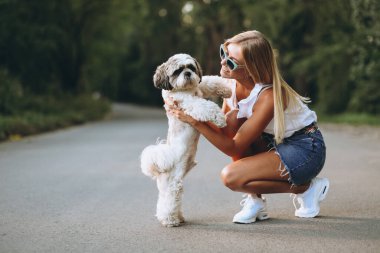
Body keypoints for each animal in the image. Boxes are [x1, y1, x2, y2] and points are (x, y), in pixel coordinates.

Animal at [140, 53, 232, 227]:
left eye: (191, 67)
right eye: (177, 71)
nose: (188, 74)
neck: (187, 89)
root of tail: (161, 168)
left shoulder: (201, 88)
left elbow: (210, 81)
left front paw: (227, 88)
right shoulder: (189, 103)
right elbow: (206, 106)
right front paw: (219, 118)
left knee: (166, 201)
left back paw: (177, 217)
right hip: (173, 183)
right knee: (168, 201)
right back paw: (170, 220)